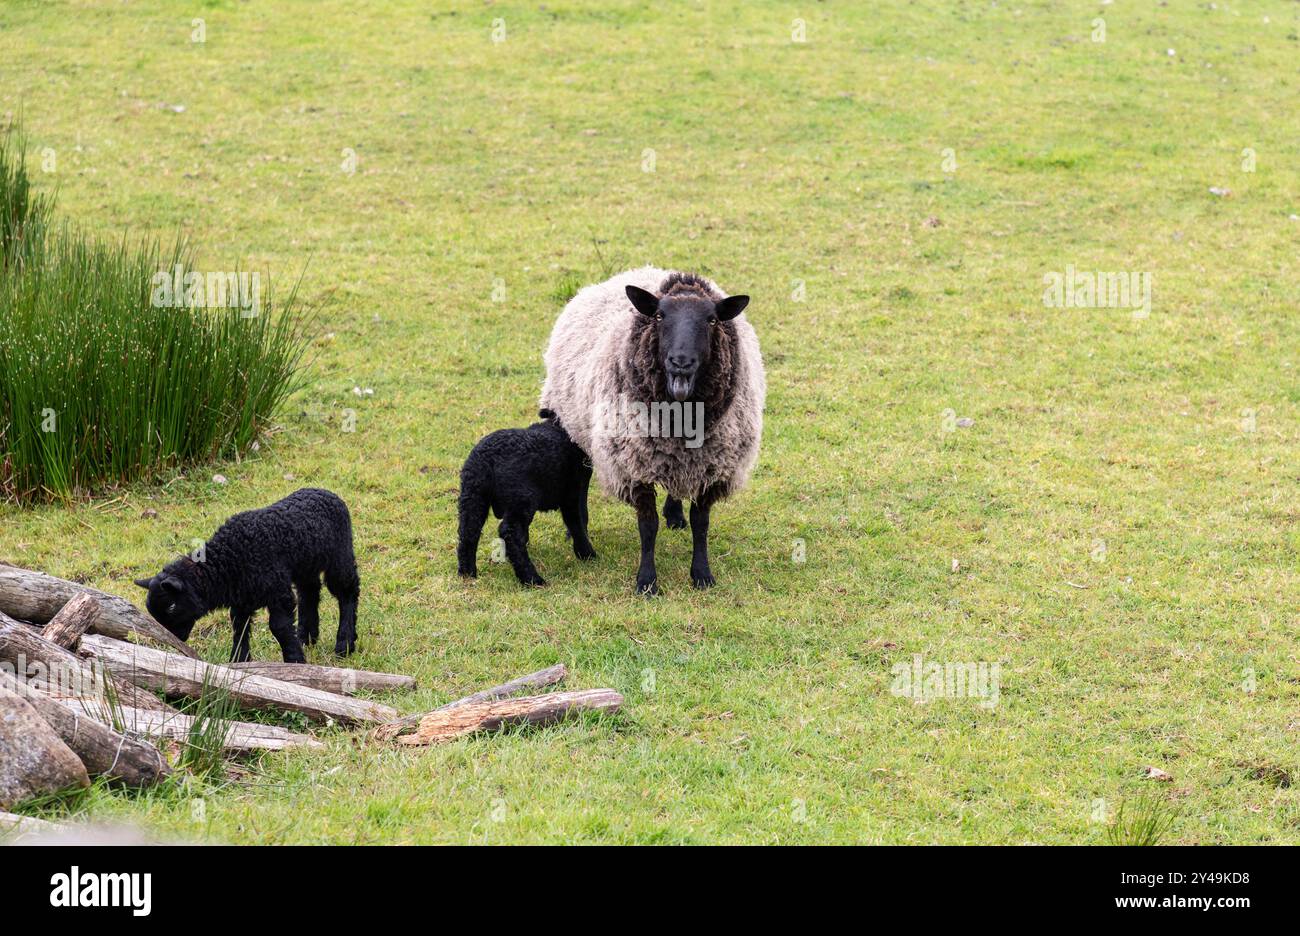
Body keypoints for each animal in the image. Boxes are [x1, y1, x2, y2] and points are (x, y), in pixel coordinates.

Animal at [133, 486, 361, 663]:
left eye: (171, 606)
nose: (176, 639)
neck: (228, 560)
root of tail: (327, 493)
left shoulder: (278, 591)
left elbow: (278, 626)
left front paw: (295, 660)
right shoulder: (242, 599)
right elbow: (239, 628)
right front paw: (239, 661)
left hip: (339, 555)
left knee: (348, 592)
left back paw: (345, 643)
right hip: (306, 565)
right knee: (310, 592)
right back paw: (306, 637)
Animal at [457, 410, 595, 585]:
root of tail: (488, 459)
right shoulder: (573, 490)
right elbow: (577, 520)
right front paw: (586, 554)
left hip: (473, 495)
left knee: (468, 531)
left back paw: (467, 573)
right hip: (522, 497)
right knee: (510, 532)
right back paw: (532, 578)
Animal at [543, 269, 764, 592]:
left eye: (712, 319)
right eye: (660, 316)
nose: (681, 362)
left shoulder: (712, 468)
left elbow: (701, 523)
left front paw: (702, 575)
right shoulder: (634, 466)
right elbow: (647, 526)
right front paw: (646, 581)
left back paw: (674, 514)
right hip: (573, 425)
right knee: (581, 478)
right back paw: (577, 527)